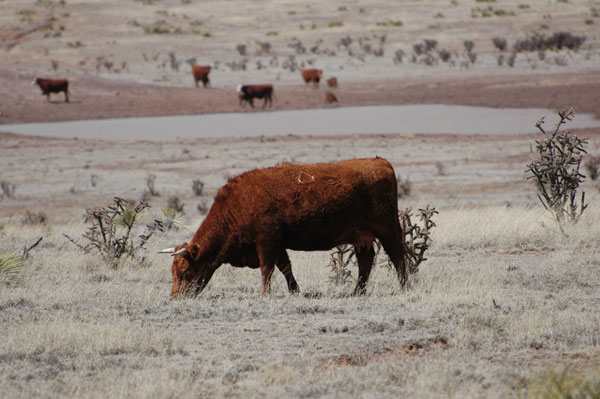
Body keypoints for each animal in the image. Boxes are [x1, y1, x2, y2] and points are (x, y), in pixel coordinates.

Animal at [158, 158, 408, 298]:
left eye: (184, 272)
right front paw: (295, 291)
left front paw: (264, 295)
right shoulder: (278, 245)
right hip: (361, 238)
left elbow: (267, 269)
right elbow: (285, 268)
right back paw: (358, 291)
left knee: (397, 255)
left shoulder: (267, 241)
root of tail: (380, 163)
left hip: (387, 229)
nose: (175, 298)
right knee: (366, 261)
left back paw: (404, 286)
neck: (237, 205)